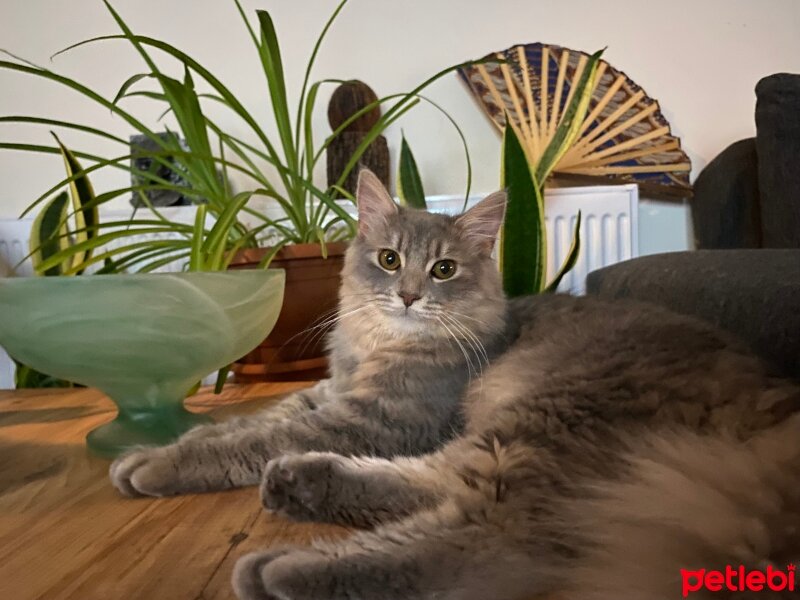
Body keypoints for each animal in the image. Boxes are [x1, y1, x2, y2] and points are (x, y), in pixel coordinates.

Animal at [111, 170, 800, 600]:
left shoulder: (378, 416)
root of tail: (771, 399)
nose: (410, 296)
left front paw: (158, 466)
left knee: (489, 537)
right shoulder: (330, 394)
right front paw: (149, 452)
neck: (379, 344)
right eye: (389, 260)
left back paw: (280, 566)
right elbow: (253, 424)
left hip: (546, 422)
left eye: (443, 270)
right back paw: (298, 483)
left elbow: (243, 442)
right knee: (431, 485)